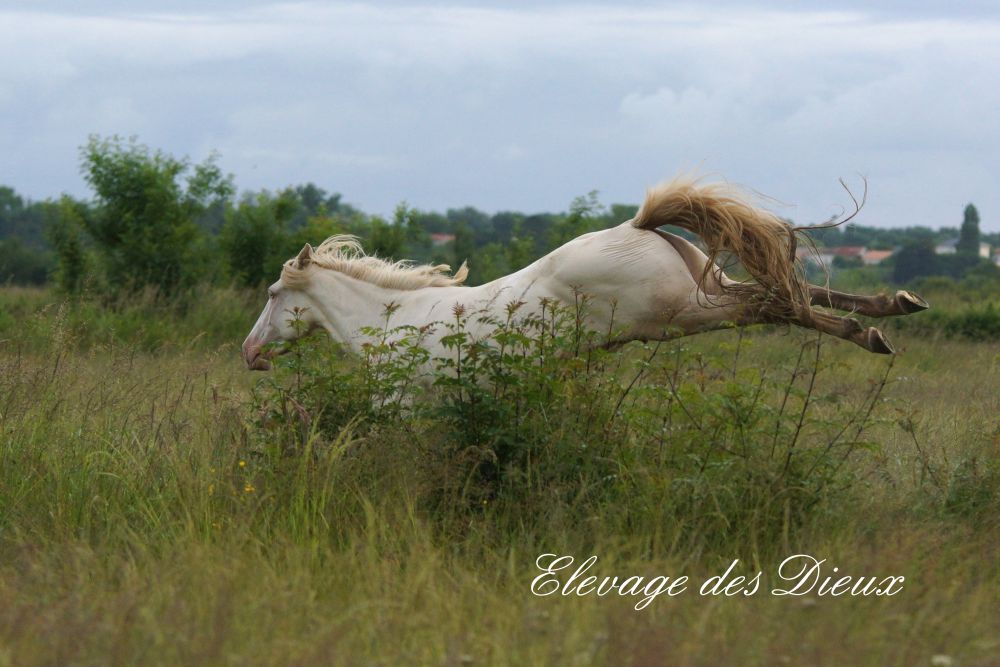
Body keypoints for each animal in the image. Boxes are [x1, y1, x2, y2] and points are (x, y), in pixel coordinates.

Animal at [242, 177, 928, 371]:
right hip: (703, 290)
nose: (249, 352)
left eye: (275, 293)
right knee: (786, 291)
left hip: (683, 314)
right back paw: (894, 306)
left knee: (776, 304)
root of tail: (637, 226)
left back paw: (874, 331)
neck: (393, 321)